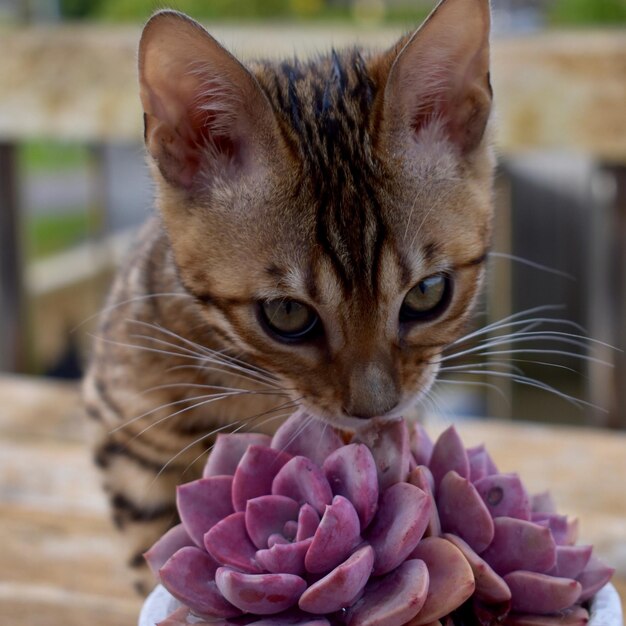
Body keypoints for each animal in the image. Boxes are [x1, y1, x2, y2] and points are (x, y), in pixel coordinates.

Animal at [81, 0, 492, 592]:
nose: (375, 408)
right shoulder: (126, 442)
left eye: (429, 293)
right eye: (286, 313)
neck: (252, 389)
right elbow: (150, 560)